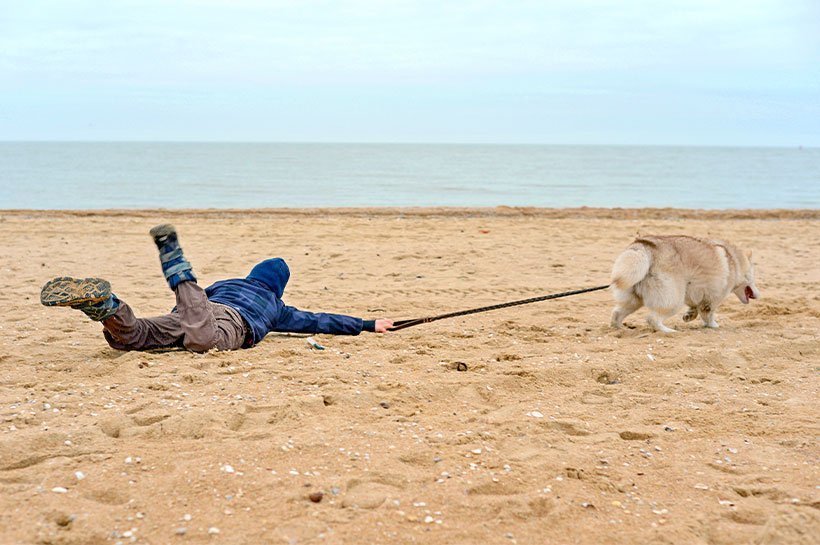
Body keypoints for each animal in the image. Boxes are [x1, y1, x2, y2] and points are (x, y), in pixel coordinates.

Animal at [612, 235, 760, 332]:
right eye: (753, 277)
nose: (759, 295)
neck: (735, 262)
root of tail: (645, 247)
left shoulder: (694, 293)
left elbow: (694, 308)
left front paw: (689, 316)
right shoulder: (712, 299)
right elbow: (708, 315)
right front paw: (713, 325)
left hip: (633, 300)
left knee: (616, 313)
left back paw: (620, 329)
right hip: (673, 301)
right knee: (652, 319)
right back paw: (669, 331)